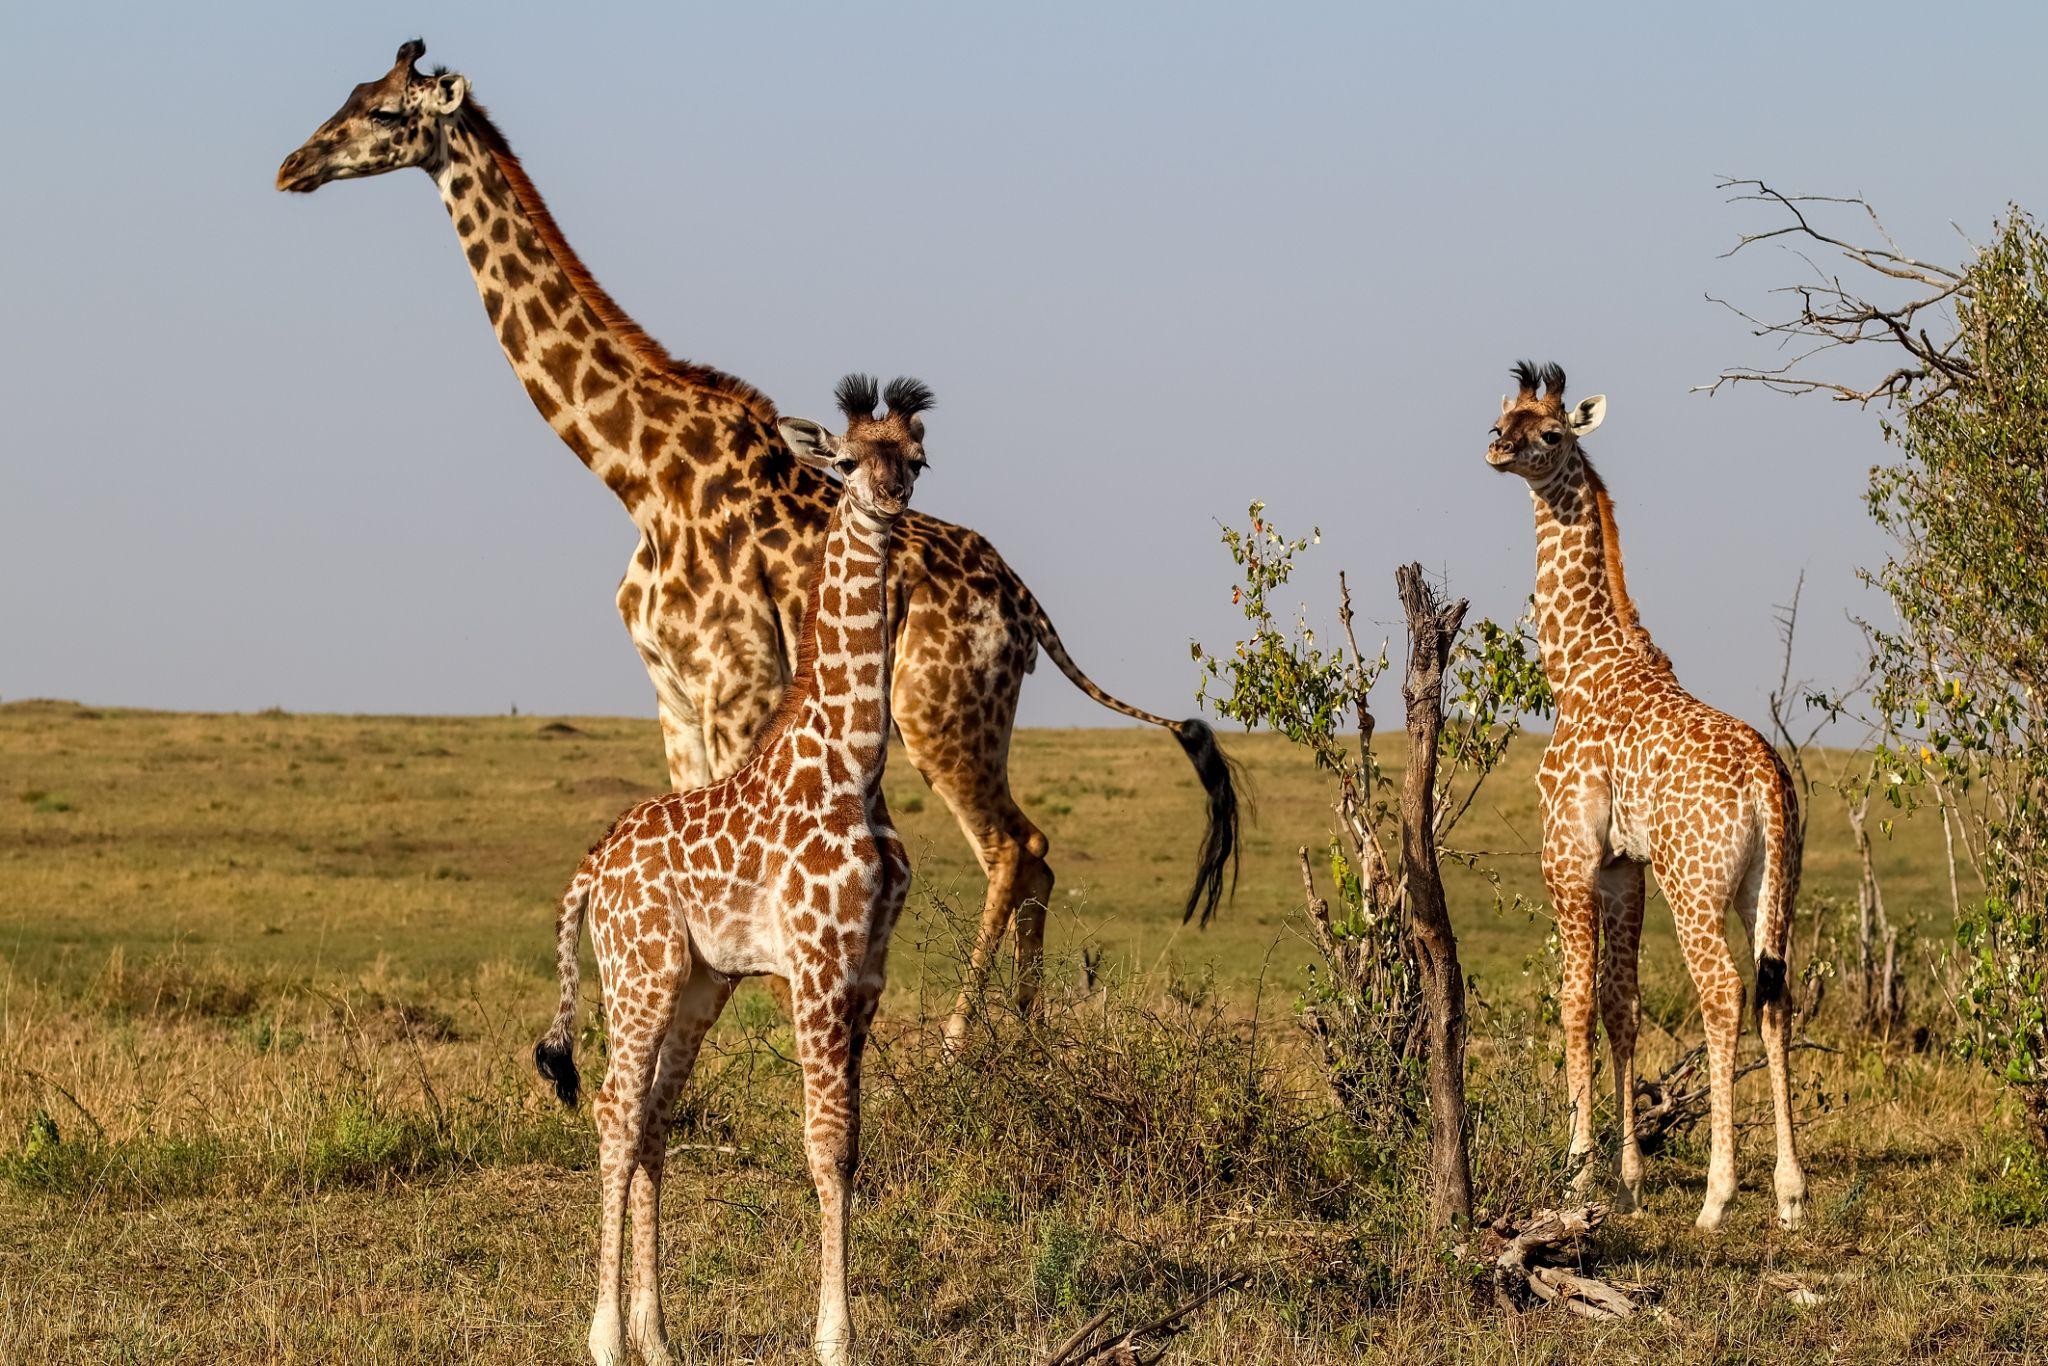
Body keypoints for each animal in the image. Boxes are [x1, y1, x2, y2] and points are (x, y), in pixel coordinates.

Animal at [276, 41, 1238, 1044]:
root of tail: (1024, 602)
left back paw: (959, 1039)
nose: (293, 166)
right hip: (979, 714)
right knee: (1037, 851)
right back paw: (1027, 1035)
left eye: (388, 113)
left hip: (941, 710)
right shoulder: (670, 685)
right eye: (352, 93)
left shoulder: (737, 679)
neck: (637, 472)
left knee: (1015, 845)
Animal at [533, 376, 930, 1366]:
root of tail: (592, 869)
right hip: (637, 970)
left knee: (652, 1118)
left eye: (915, 456)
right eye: (847, 459)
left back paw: (659, 1337)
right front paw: (836, 1341)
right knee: (613, 1109)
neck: (855, 761)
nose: (889, 498)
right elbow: (823, 1144)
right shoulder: (817, 964)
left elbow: (850, 1143)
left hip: (698, 979)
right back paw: (606, 1337)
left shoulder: (867, 969)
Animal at [1486, 361, 1805, 1232]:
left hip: (1693, 885)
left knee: (1723, 993)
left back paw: (1719, 1197)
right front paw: (1629, 1176)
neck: (1578, 664)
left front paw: (1577, 1174)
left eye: (1550, 432)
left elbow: (1573, 1003)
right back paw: (1791, 1193)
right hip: (1771, 884)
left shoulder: (1566, 854)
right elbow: (1622, 1005)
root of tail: (1767, 783)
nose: (1496, 451)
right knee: (1776, 994)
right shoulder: (1624, 865)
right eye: (1501, 420)